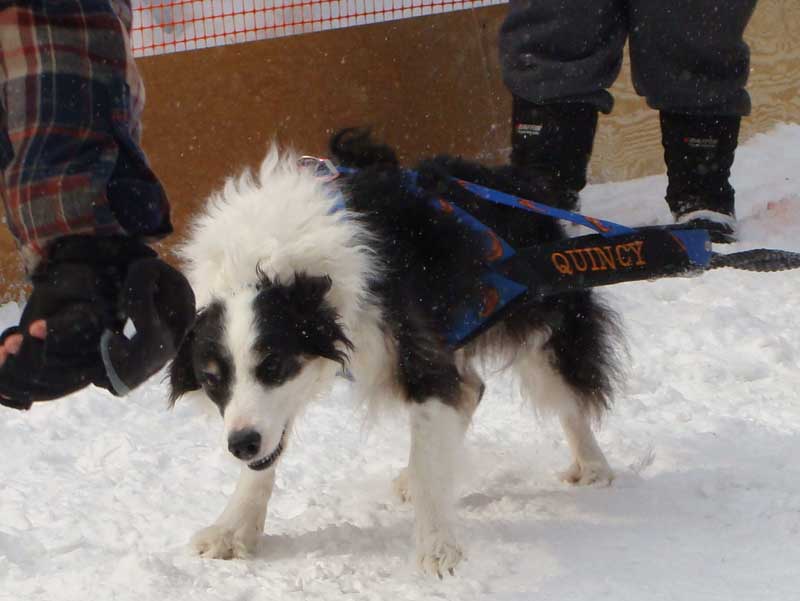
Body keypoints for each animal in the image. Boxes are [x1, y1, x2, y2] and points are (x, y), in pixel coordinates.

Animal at [167, 131, 620, 576]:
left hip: (543, 315)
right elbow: (267, 457)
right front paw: (233, 530)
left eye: (273, 364)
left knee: (565, 388)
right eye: (212, 380)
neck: (280, 270)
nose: (240, 445)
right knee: (471, 388)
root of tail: (514, 182)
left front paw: (438, 548)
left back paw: (592, 464)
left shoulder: (415, 350)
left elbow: (432, 440)